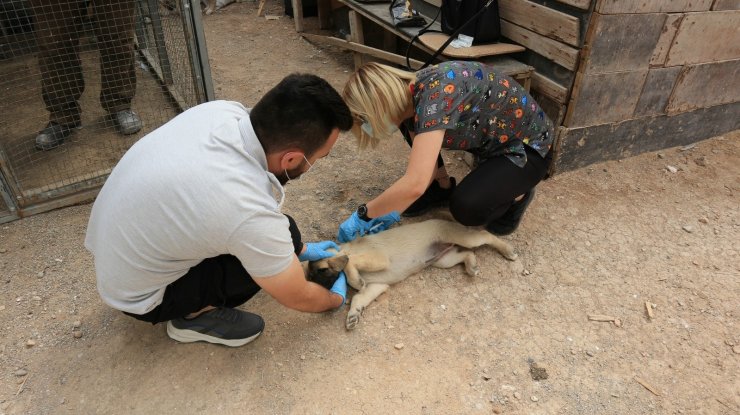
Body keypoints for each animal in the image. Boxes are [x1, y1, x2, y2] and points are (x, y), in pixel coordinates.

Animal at [304, 219, 516, 330]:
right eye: (310, 277)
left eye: (321, 271)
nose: (318, 288)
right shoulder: (377, 286)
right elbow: (358, 297)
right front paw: (353, 315)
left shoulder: (378, 258)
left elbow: (350, 263)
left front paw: (354, 278)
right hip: (443, 260)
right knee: (467, 254)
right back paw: (472, 266)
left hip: (465, 239)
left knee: (485, 236)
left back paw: (508, 250)